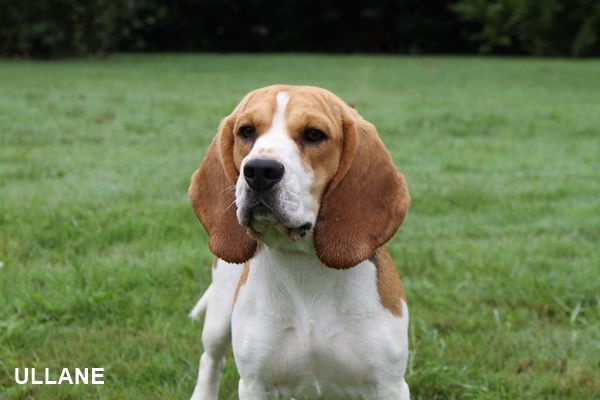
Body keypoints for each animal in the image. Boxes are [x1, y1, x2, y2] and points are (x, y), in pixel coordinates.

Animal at [190, 85, 410, 400]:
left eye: (314, 134)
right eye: (246, 131)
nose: (259, 170)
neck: (305, 267)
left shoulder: (389, 384)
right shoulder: (255, 383)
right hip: (219, 315)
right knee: (211, 359)